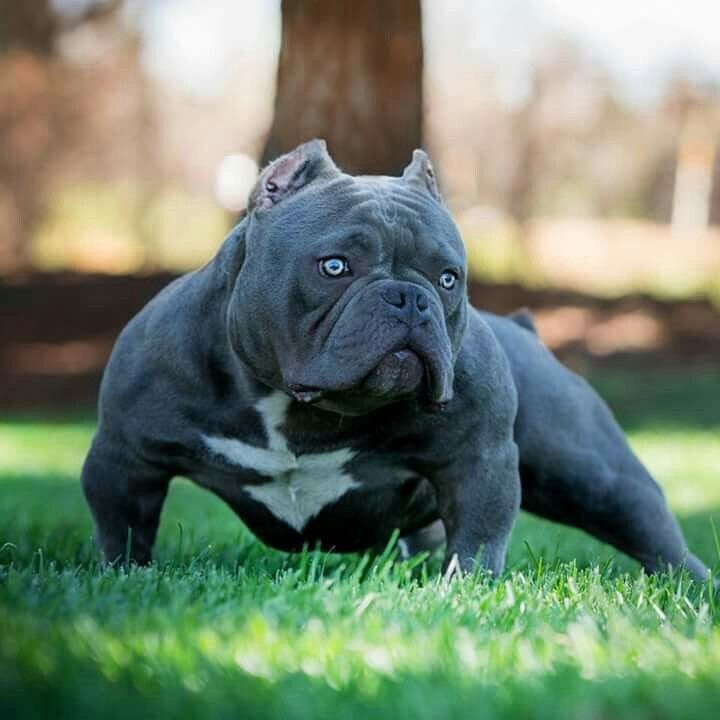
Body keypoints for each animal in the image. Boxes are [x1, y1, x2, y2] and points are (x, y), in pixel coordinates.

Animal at [81, 138, 712, 584]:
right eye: (335, 266)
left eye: (449, 277)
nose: (410, 298)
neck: (298, 407)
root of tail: (525, 330)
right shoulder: (125, 455)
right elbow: (124, 531)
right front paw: (126, 580)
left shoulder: (479, 457)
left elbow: (478, 539)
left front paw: (463, 593)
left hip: (591, 473)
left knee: (650, 529)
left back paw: (692, 588)